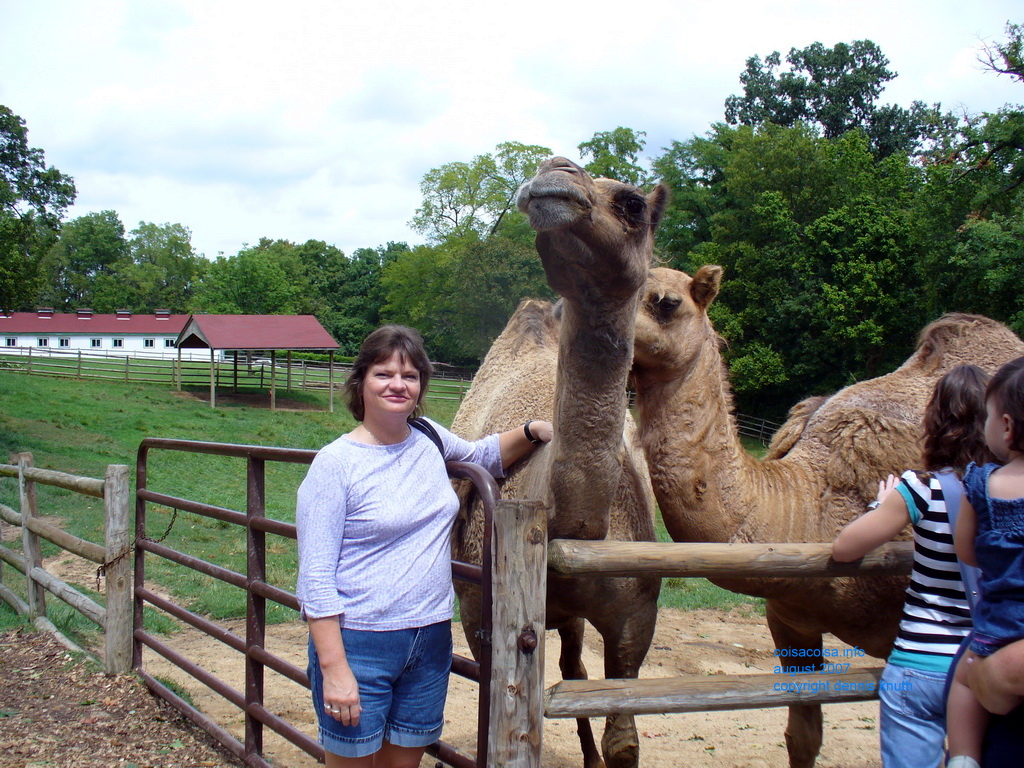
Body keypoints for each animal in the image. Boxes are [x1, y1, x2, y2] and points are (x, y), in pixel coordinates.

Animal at [451, 157, 668, 768]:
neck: (573, 522)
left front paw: (604, 751)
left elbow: (623, 740)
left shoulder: (635, 619)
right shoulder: (479, 609)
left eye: (633, 204)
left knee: (571, 668)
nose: (556, 172)